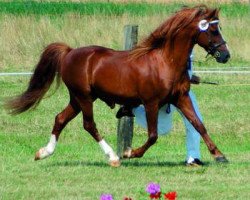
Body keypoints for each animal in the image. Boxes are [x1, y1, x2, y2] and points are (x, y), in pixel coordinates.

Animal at [7, 5, 230, 166]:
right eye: (212, 30)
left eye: (219, 28)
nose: (226, 56)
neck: (166, 62)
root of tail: (69, 52)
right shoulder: (151, 103)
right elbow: (153, 136)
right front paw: (130, 152)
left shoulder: (180, 98)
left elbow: (199, 125)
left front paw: (219, 155)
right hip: (84, 97)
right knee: (89, 125)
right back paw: (113, 157)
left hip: (78, 99)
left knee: (60, 119)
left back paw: (44, 152)